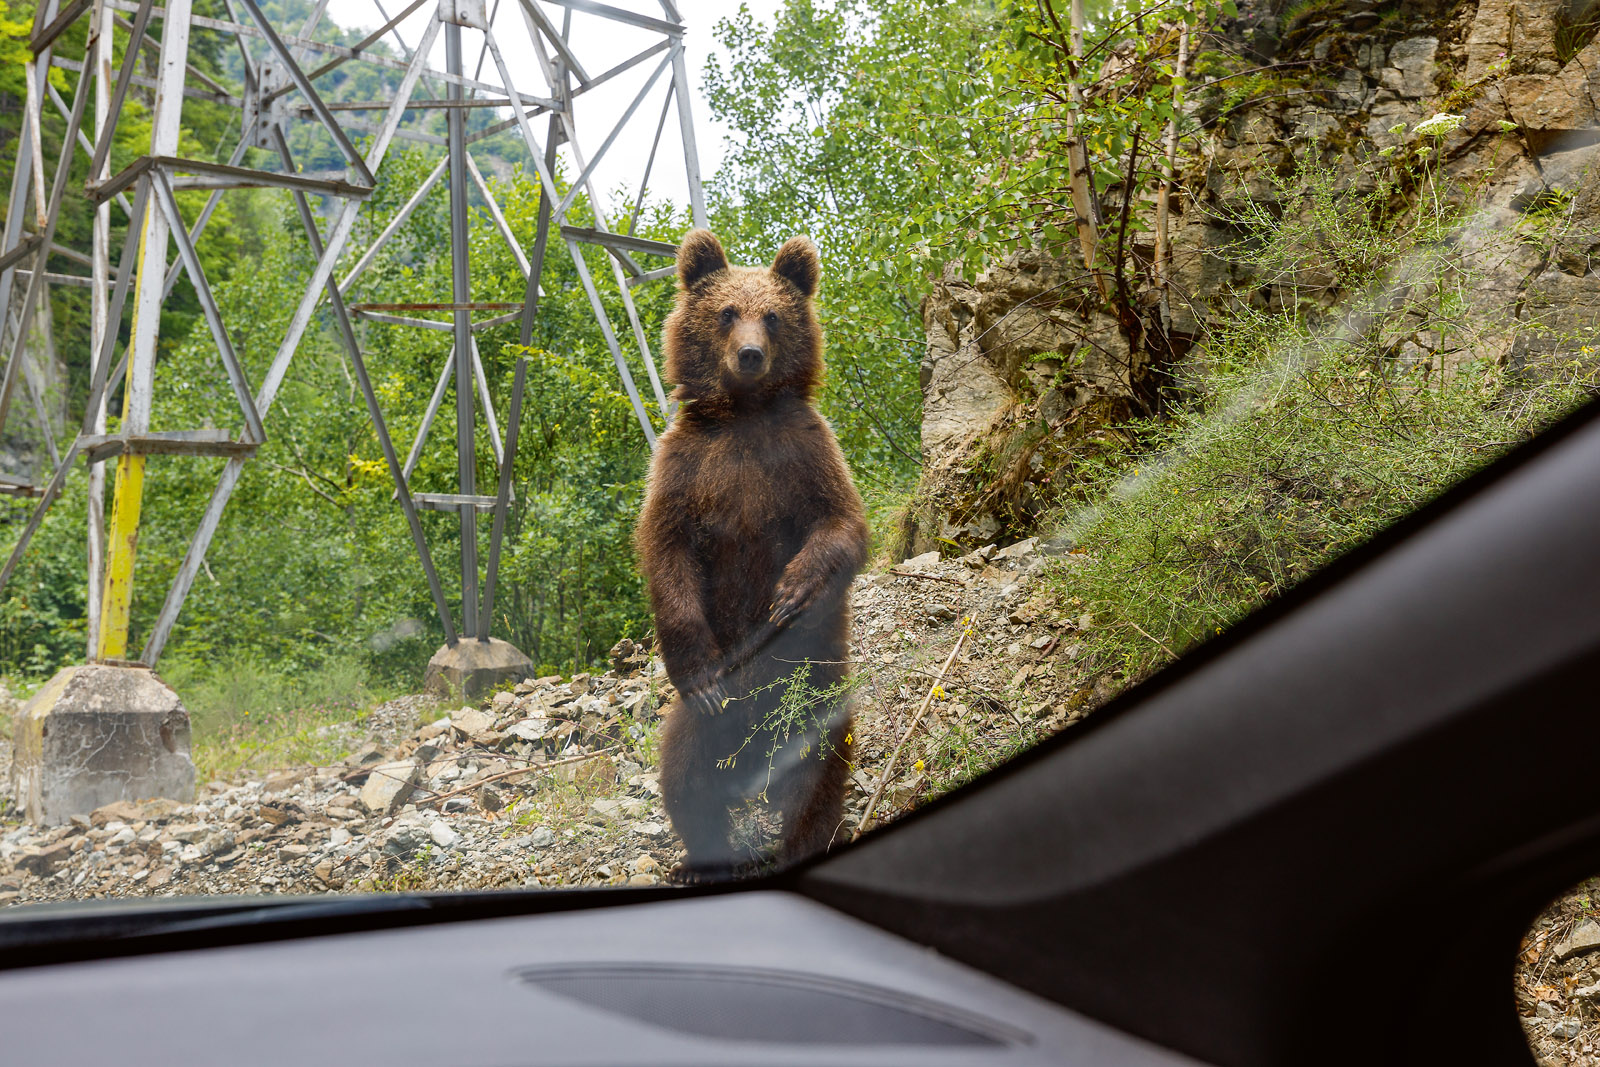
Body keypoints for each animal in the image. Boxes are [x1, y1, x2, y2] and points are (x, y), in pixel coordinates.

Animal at [633, 230, 870, 883]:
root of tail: (755, 759)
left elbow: (842, 523)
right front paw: (702, 671)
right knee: (687, 776)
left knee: (817, 775)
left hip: (814, 696)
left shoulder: (804, 451)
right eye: (725, 312)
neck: (742, 415)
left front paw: (792, 592)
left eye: (773, 315)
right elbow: (667, 552)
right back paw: (703, 860)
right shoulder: (686, 469)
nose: (749, 355)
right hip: (703, 727)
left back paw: (804, 840)